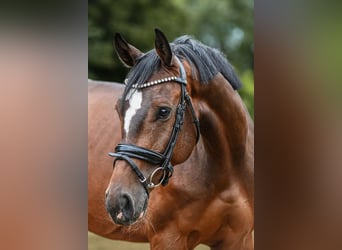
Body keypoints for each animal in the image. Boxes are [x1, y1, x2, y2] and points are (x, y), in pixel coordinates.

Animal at [88, 28, 254, 249]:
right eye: (118, 109)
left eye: (164, 111)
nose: (118, 201)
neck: (227, 172)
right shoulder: (168, 238)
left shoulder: (240, 239)